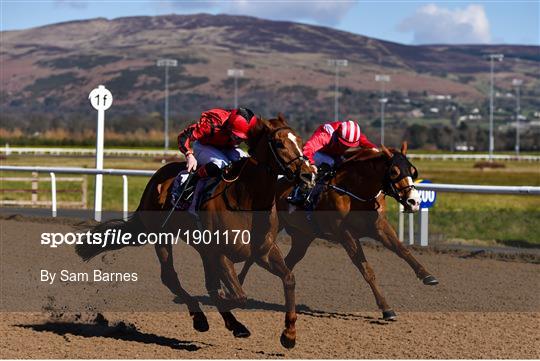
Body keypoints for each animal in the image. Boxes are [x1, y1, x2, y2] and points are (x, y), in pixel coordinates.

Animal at [74, 114, 314, 346]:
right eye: (279, 143)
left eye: (301, 141)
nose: (308, 175)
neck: (244, 199)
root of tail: (154, 181)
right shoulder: (220, 254)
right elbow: (236, 296)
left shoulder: (263, 251)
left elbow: (288, 279)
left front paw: (289, 334)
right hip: (162, 236)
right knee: (170, 277)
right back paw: (200, 318)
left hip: (201, 248)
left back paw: (233, 324)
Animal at [238, 142, 436, 320]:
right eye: (394, 171)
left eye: (412, 171)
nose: (414, 201)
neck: (356, 192)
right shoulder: (345, 234)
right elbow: (366, 270)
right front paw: (386, 308)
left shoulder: (380, 227)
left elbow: (402, 250)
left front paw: (427, 275)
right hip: (270, 228)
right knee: (253, 255)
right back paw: (239, 287)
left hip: (303, 237)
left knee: (287, 262)